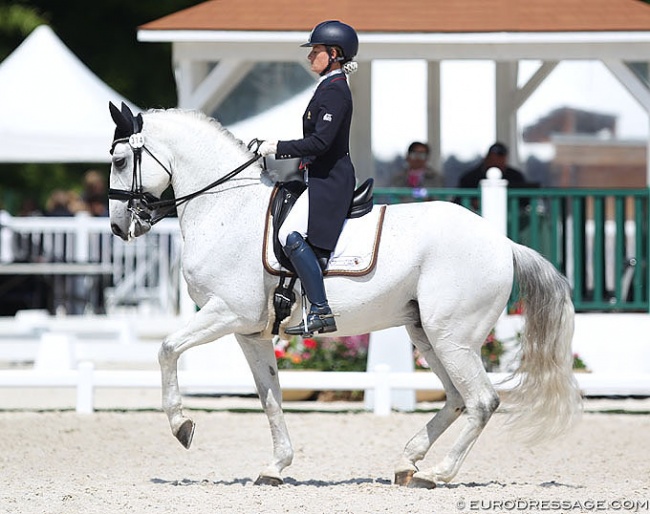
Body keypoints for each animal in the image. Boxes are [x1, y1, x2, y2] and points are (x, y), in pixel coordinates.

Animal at [109, 103, 580, 488]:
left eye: (118, 160)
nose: (118, 227)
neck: (228, 209)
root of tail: (503, 243)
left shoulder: (226, 313)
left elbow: (167, 349)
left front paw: (181, 426)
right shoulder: (250, 332)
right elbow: (270, 397)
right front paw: (275, 466)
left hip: (453, 337)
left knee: (482, 400)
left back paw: (437, 473)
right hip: (427, 333)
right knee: (457, 397)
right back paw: (408, 461)